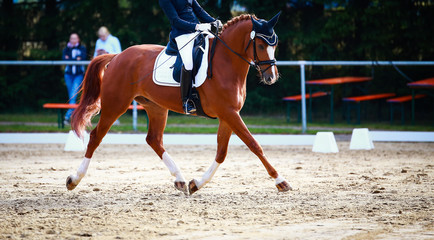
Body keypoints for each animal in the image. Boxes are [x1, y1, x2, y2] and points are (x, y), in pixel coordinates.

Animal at [67, 13, 292, 195]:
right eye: (261, 45)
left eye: (275, 45)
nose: (271, 77)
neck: (226, 62)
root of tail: (117, 56)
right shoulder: (229, 113)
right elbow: (254, 144)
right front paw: (281, 181)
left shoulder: (228, 114)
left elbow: (221, 152)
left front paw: (197, 184)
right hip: (115, 105)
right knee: (95, 137)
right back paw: (74, 180)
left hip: (156, 107)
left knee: (154, 140)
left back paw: (181, 180)